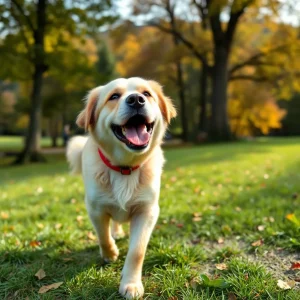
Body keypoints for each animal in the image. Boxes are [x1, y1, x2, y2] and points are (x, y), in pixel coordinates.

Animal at [66, 77, 176, 298]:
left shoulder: (147, 211)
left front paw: (131, 283)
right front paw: (110, 253)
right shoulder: (95, 208)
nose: (136, 100)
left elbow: (137, 251)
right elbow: (102, 236)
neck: (125, 167)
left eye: (147, 93)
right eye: (114, 96)